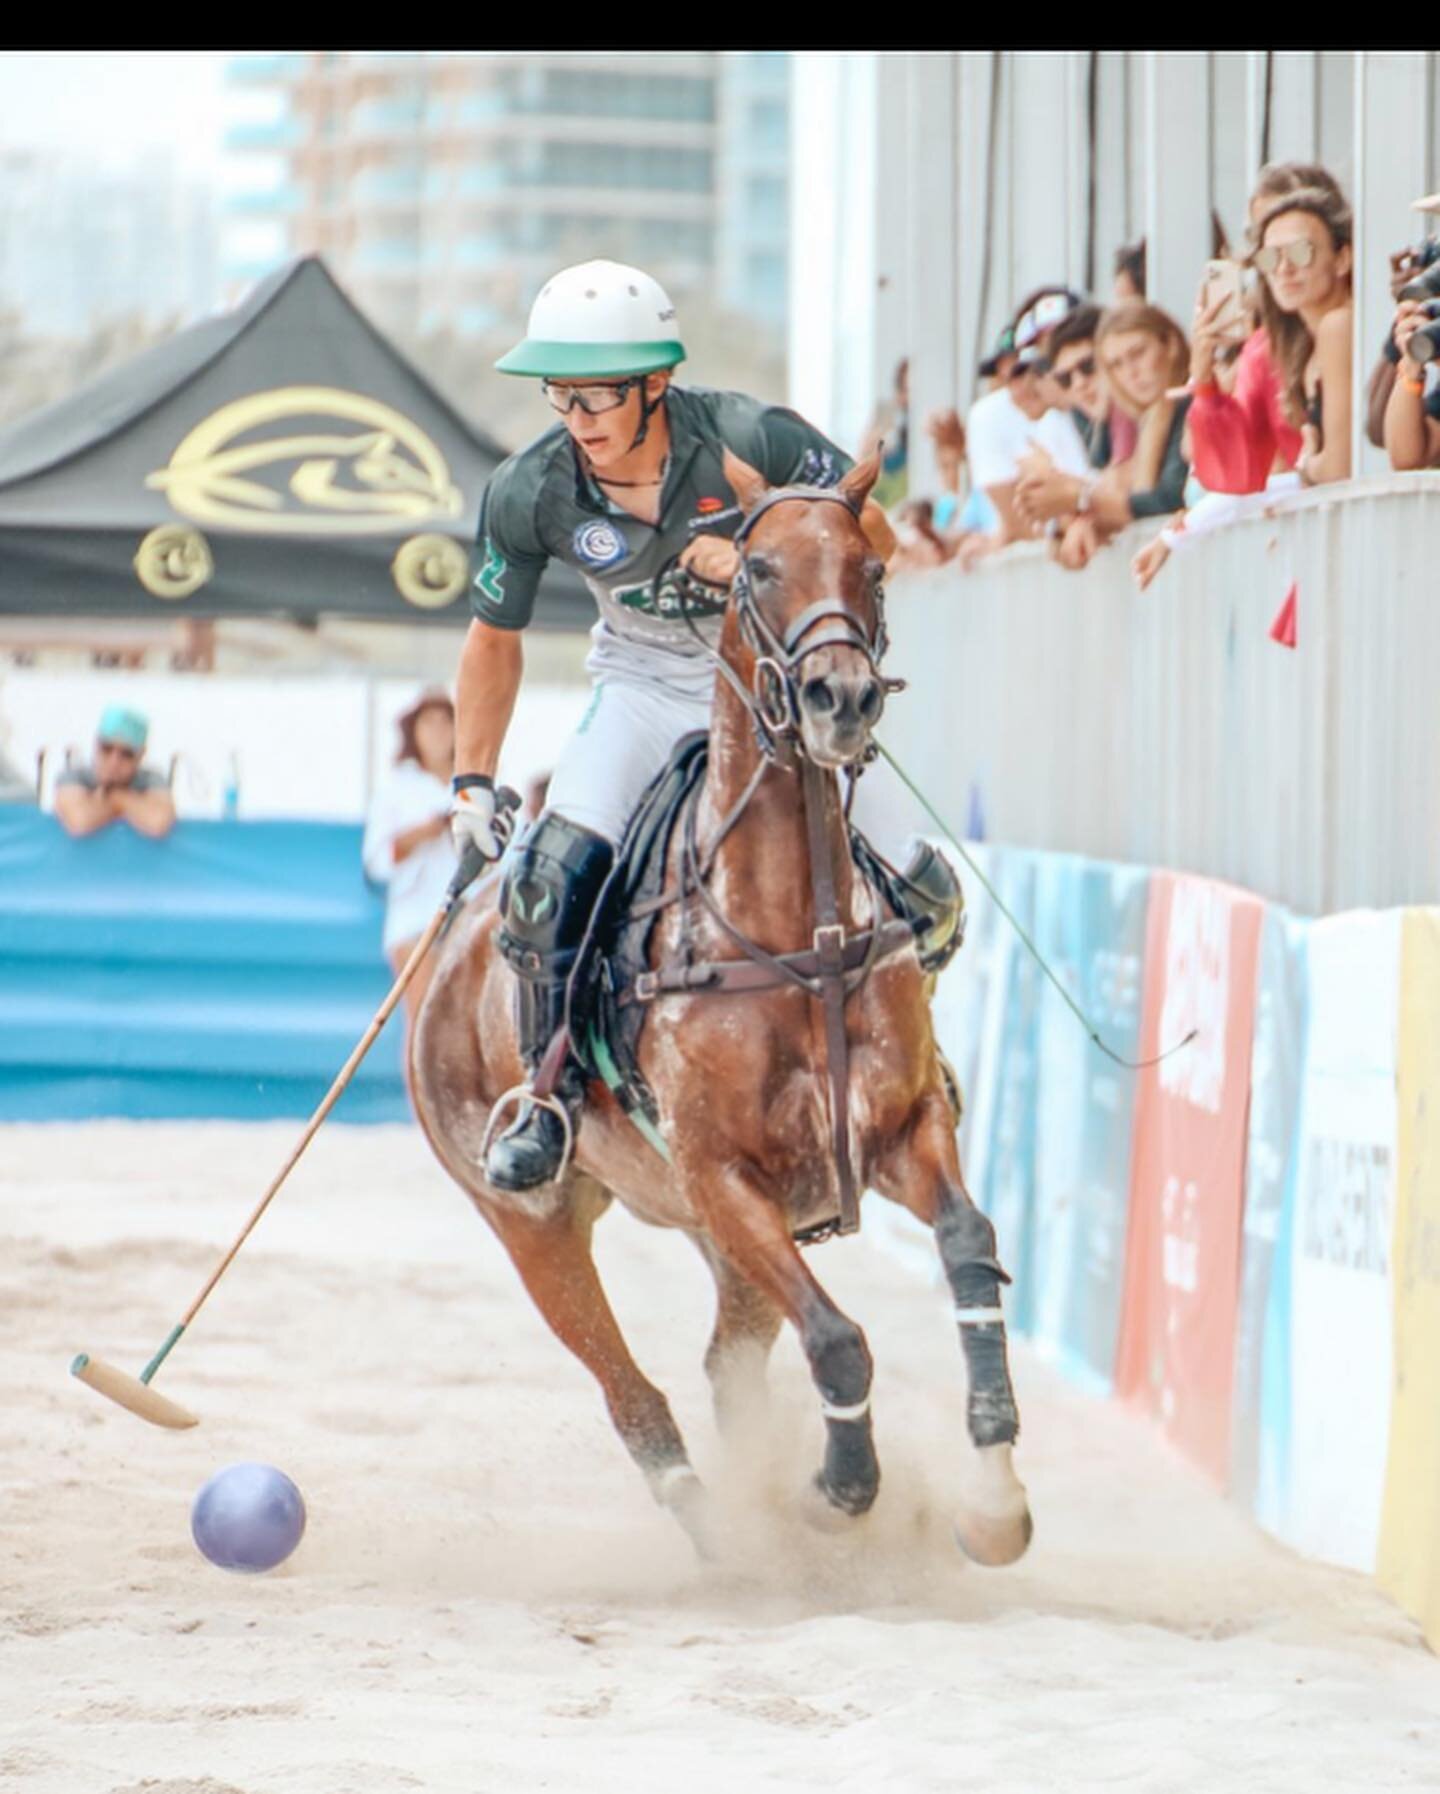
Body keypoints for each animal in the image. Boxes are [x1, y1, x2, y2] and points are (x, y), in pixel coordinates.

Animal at [410, 452, 1032, 1571]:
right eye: (758, 568)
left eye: (873, 567)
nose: (840, 698)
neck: (794, 927)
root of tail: (444, 947)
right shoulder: (724, 1174)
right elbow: (839, 1340)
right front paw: (838, 1491)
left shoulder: (900, 1128)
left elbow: (969, 1245)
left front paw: (994, 1501)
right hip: (533, 1222)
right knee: (634, 1394)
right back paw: (729, 1536)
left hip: (713, 1234)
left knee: (721, 1367)